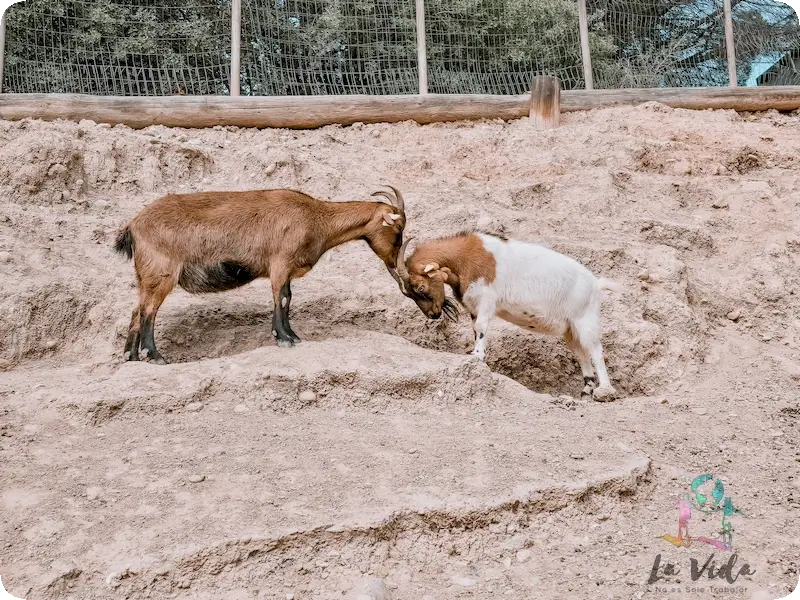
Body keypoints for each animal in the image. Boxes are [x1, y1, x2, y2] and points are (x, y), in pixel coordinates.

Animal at [113, 185, 408, 364]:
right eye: (398, 230)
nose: (394, 264)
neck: (317, 218)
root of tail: (133, 225)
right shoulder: (280, 263)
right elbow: (281, 298)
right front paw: (284, 338)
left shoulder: (286, 270)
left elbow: (288, 299)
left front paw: (293, 335)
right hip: (162, 273)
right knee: (148, 311)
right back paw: (154, 356)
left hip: (146, 275)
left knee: (137, 310)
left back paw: (131, 357)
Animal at [394, 230, 623, 401]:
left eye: (421, 288)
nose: (433, 314)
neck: (468, 256)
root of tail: (596, 284)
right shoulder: (474, 307)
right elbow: (475, 330)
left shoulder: (487, 300)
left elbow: (481, 327)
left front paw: (477, 356)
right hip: (570, 329)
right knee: (582, 354)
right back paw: (585, 392)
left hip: (586, 320)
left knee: (596, 351)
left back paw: (604, 391)